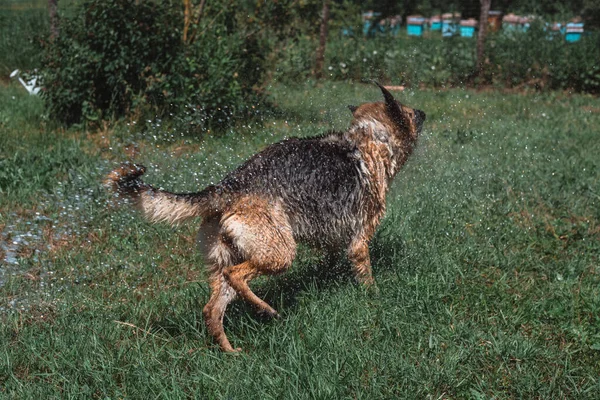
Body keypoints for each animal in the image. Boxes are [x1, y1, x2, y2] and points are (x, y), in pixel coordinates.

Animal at [106, 83, 426, 352]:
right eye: (410, 112)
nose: (424, 112)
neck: (369, 140)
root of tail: (228, 186)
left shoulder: (332, 239)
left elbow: (331, 260)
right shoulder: (360, 239)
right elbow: (367, 276)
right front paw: (375, 298)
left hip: (230, 257)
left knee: (213, 308)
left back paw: (231, 350)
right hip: (279, 252)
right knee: (236, 276)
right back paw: (266, 309)